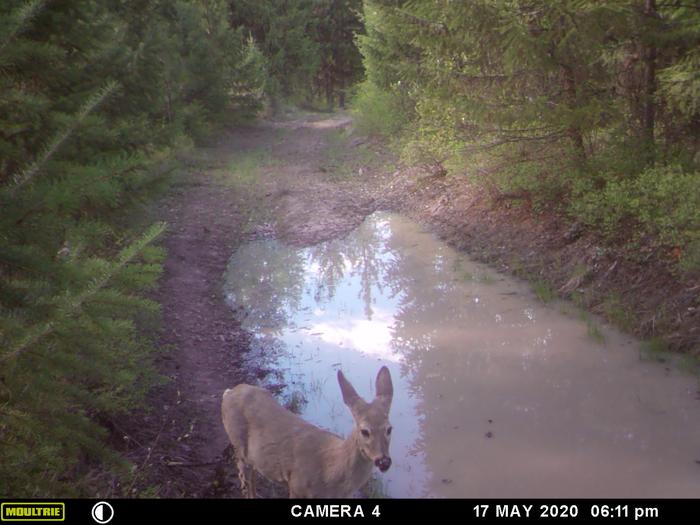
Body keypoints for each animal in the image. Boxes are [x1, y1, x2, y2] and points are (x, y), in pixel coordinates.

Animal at [221, 364, 394, 496]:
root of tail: (229, 392)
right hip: (238, 444)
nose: (384, 461)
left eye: (389, 429)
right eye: (364, 431)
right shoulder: (297, 486)